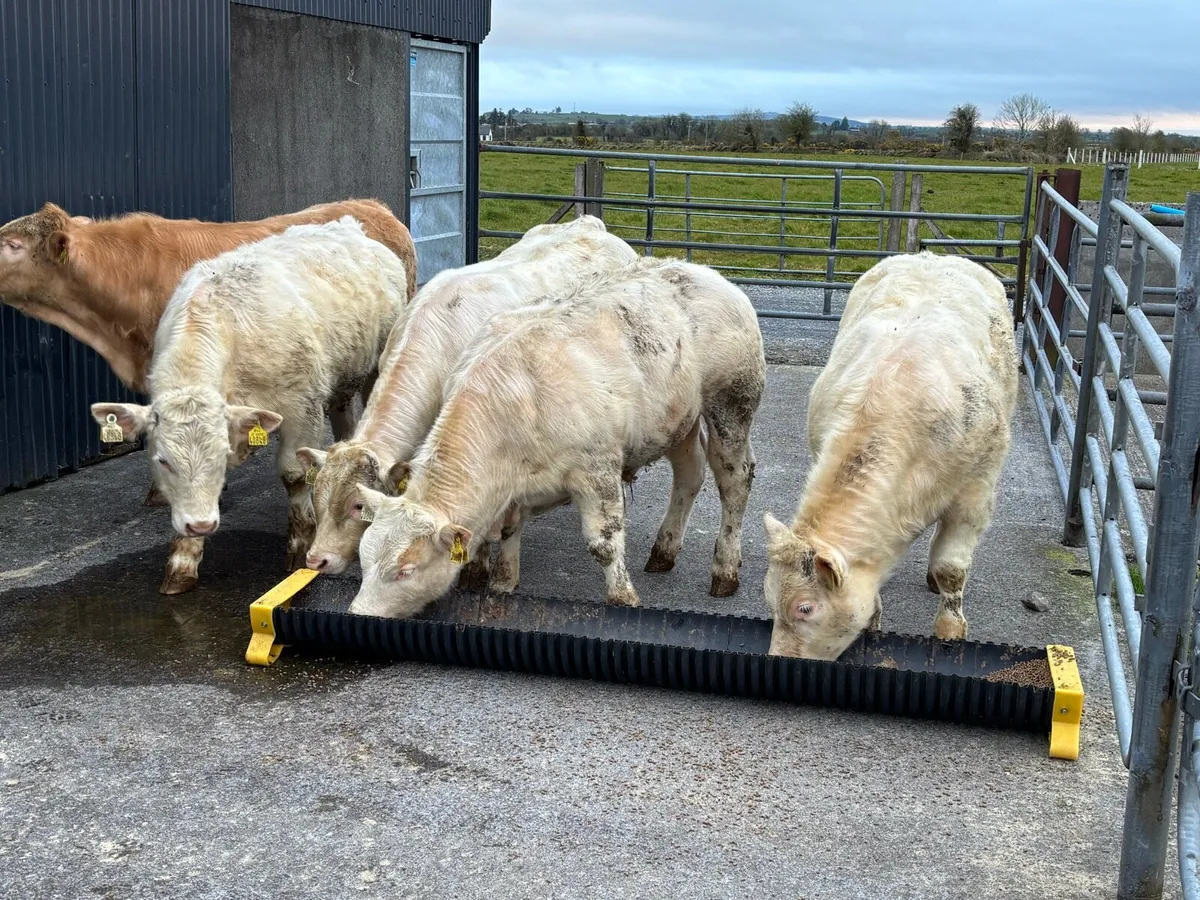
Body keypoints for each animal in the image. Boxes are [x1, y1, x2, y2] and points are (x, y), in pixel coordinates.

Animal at [89, 216, 412, 595]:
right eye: (163, 461)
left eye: (220, 458)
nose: (199, 526)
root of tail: (347, 226)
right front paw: (183, 559)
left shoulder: (301, 406)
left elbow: (294, 474)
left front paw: (300, 546)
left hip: (377, 364)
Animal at [342, 256, 765, 620]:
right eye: (364, 558)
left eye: (404, 570)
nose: (359, 614)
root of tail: (701, 270)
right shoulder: (514, 488)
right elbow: (509, 531)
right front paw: (502, 584)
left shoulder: (598, 469)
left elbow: (604, 544)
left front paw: (624, 599)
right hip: (678, 420)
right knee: (689, 473)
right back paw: (664, 550)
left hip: (732, 403)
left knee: (734, 480)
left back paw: (725, 570)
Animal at [761, 251, 1018, 661]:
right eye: (770, 601)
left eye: (805, 608)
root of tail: (932, 255)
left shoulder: (976, 490)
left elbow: (951, 568)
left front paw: (950, 630)